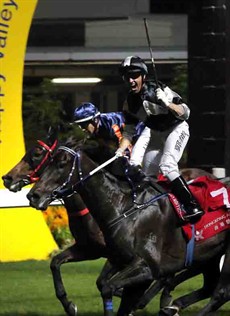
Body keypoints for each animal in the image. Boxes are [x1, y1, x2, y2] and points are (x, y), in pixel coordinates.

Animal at [26, 138, 229, 316]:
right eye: (49, 161)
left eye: (62, 163)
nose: (33, 195)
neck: (124, 208)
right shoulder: (107, 255)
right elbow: (57, 263)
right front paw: (69, 306)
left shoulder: (146, 267)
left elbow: (108, 287)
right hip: (209, 256)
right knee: (209, 286)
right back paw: (172, 306)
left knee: (220, 293)